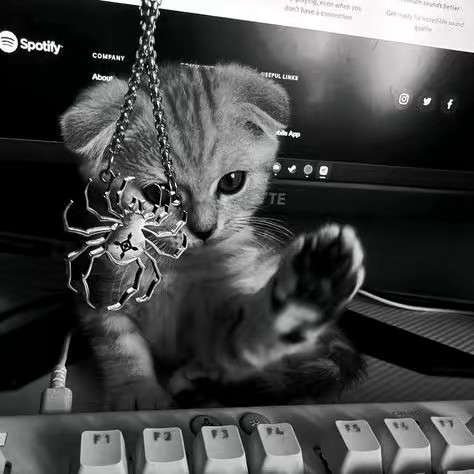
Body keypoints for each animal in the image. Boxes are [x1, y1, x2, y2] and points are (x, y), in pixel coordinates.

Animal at [60, 63, 366, 410]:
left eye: (232, 181)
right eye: (157, 194)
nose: (204, 230)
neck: (175, 268)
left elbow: (248, 337)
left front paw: (308, 289)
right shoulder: (97, 295)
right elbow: (118, 343)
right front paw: (137, 391)